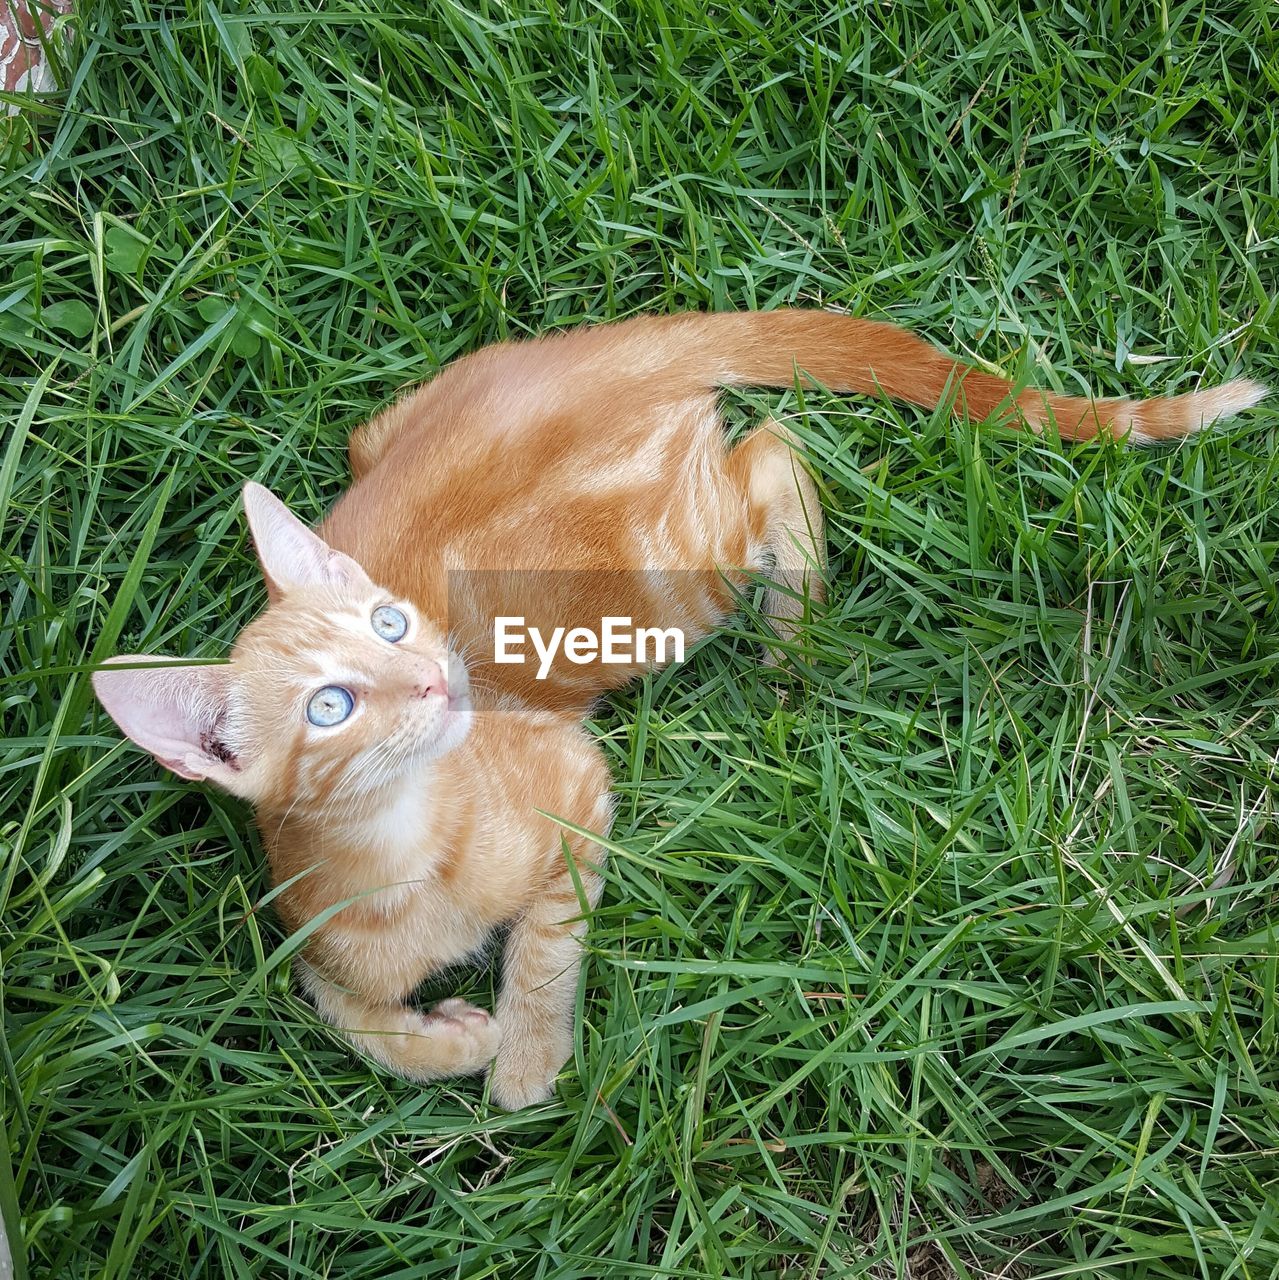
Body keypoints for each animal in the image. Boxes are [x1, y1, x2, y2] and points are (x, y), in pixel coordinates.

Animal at [94, 304, 1264, 1105]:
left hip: (656, 585)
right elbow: (338, 1007)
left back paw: (792, 629)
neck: (406, 854)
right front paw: (443, 1040)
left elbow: (546, 944)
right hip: (391, 440)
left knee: (777, 452)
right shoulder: (304, 926)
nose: (436, 675)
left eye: (389, 623)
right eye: (330, 706)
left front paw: (523, 1056)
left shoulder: (573, 784)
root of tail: (618, 349)